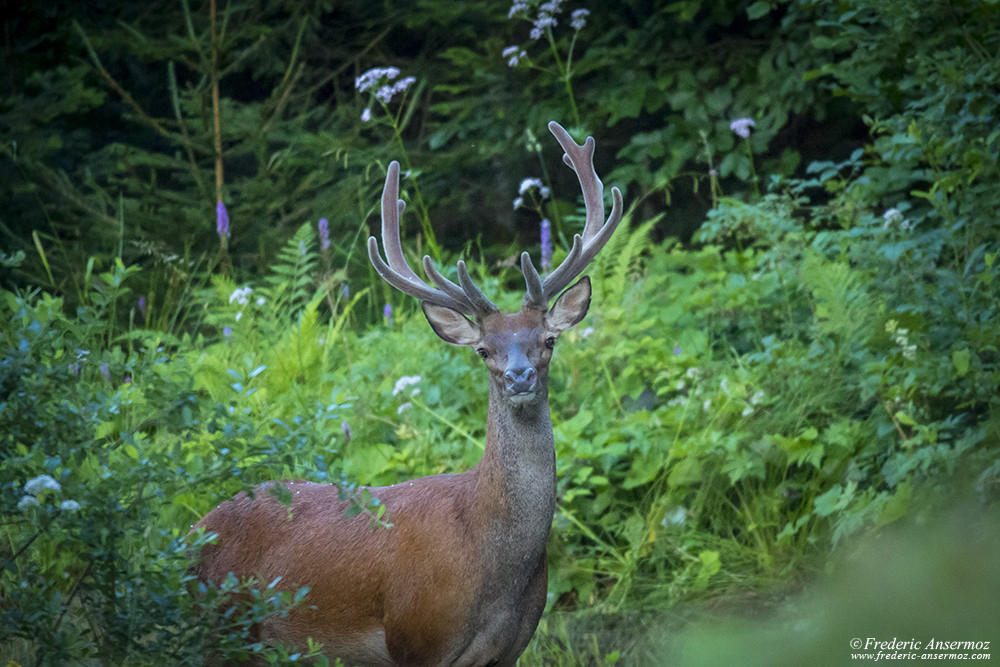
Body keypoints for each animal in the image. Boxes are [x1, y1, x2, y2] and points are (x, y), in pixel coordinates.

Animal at [191, 122, 620, 664]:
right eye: (483, 350)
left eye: (548, 340)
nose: (519, 377)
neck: (492, 564)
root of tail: (186, 539)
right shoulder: (416, 637)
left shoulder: (511, 648)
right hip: (222, 625)